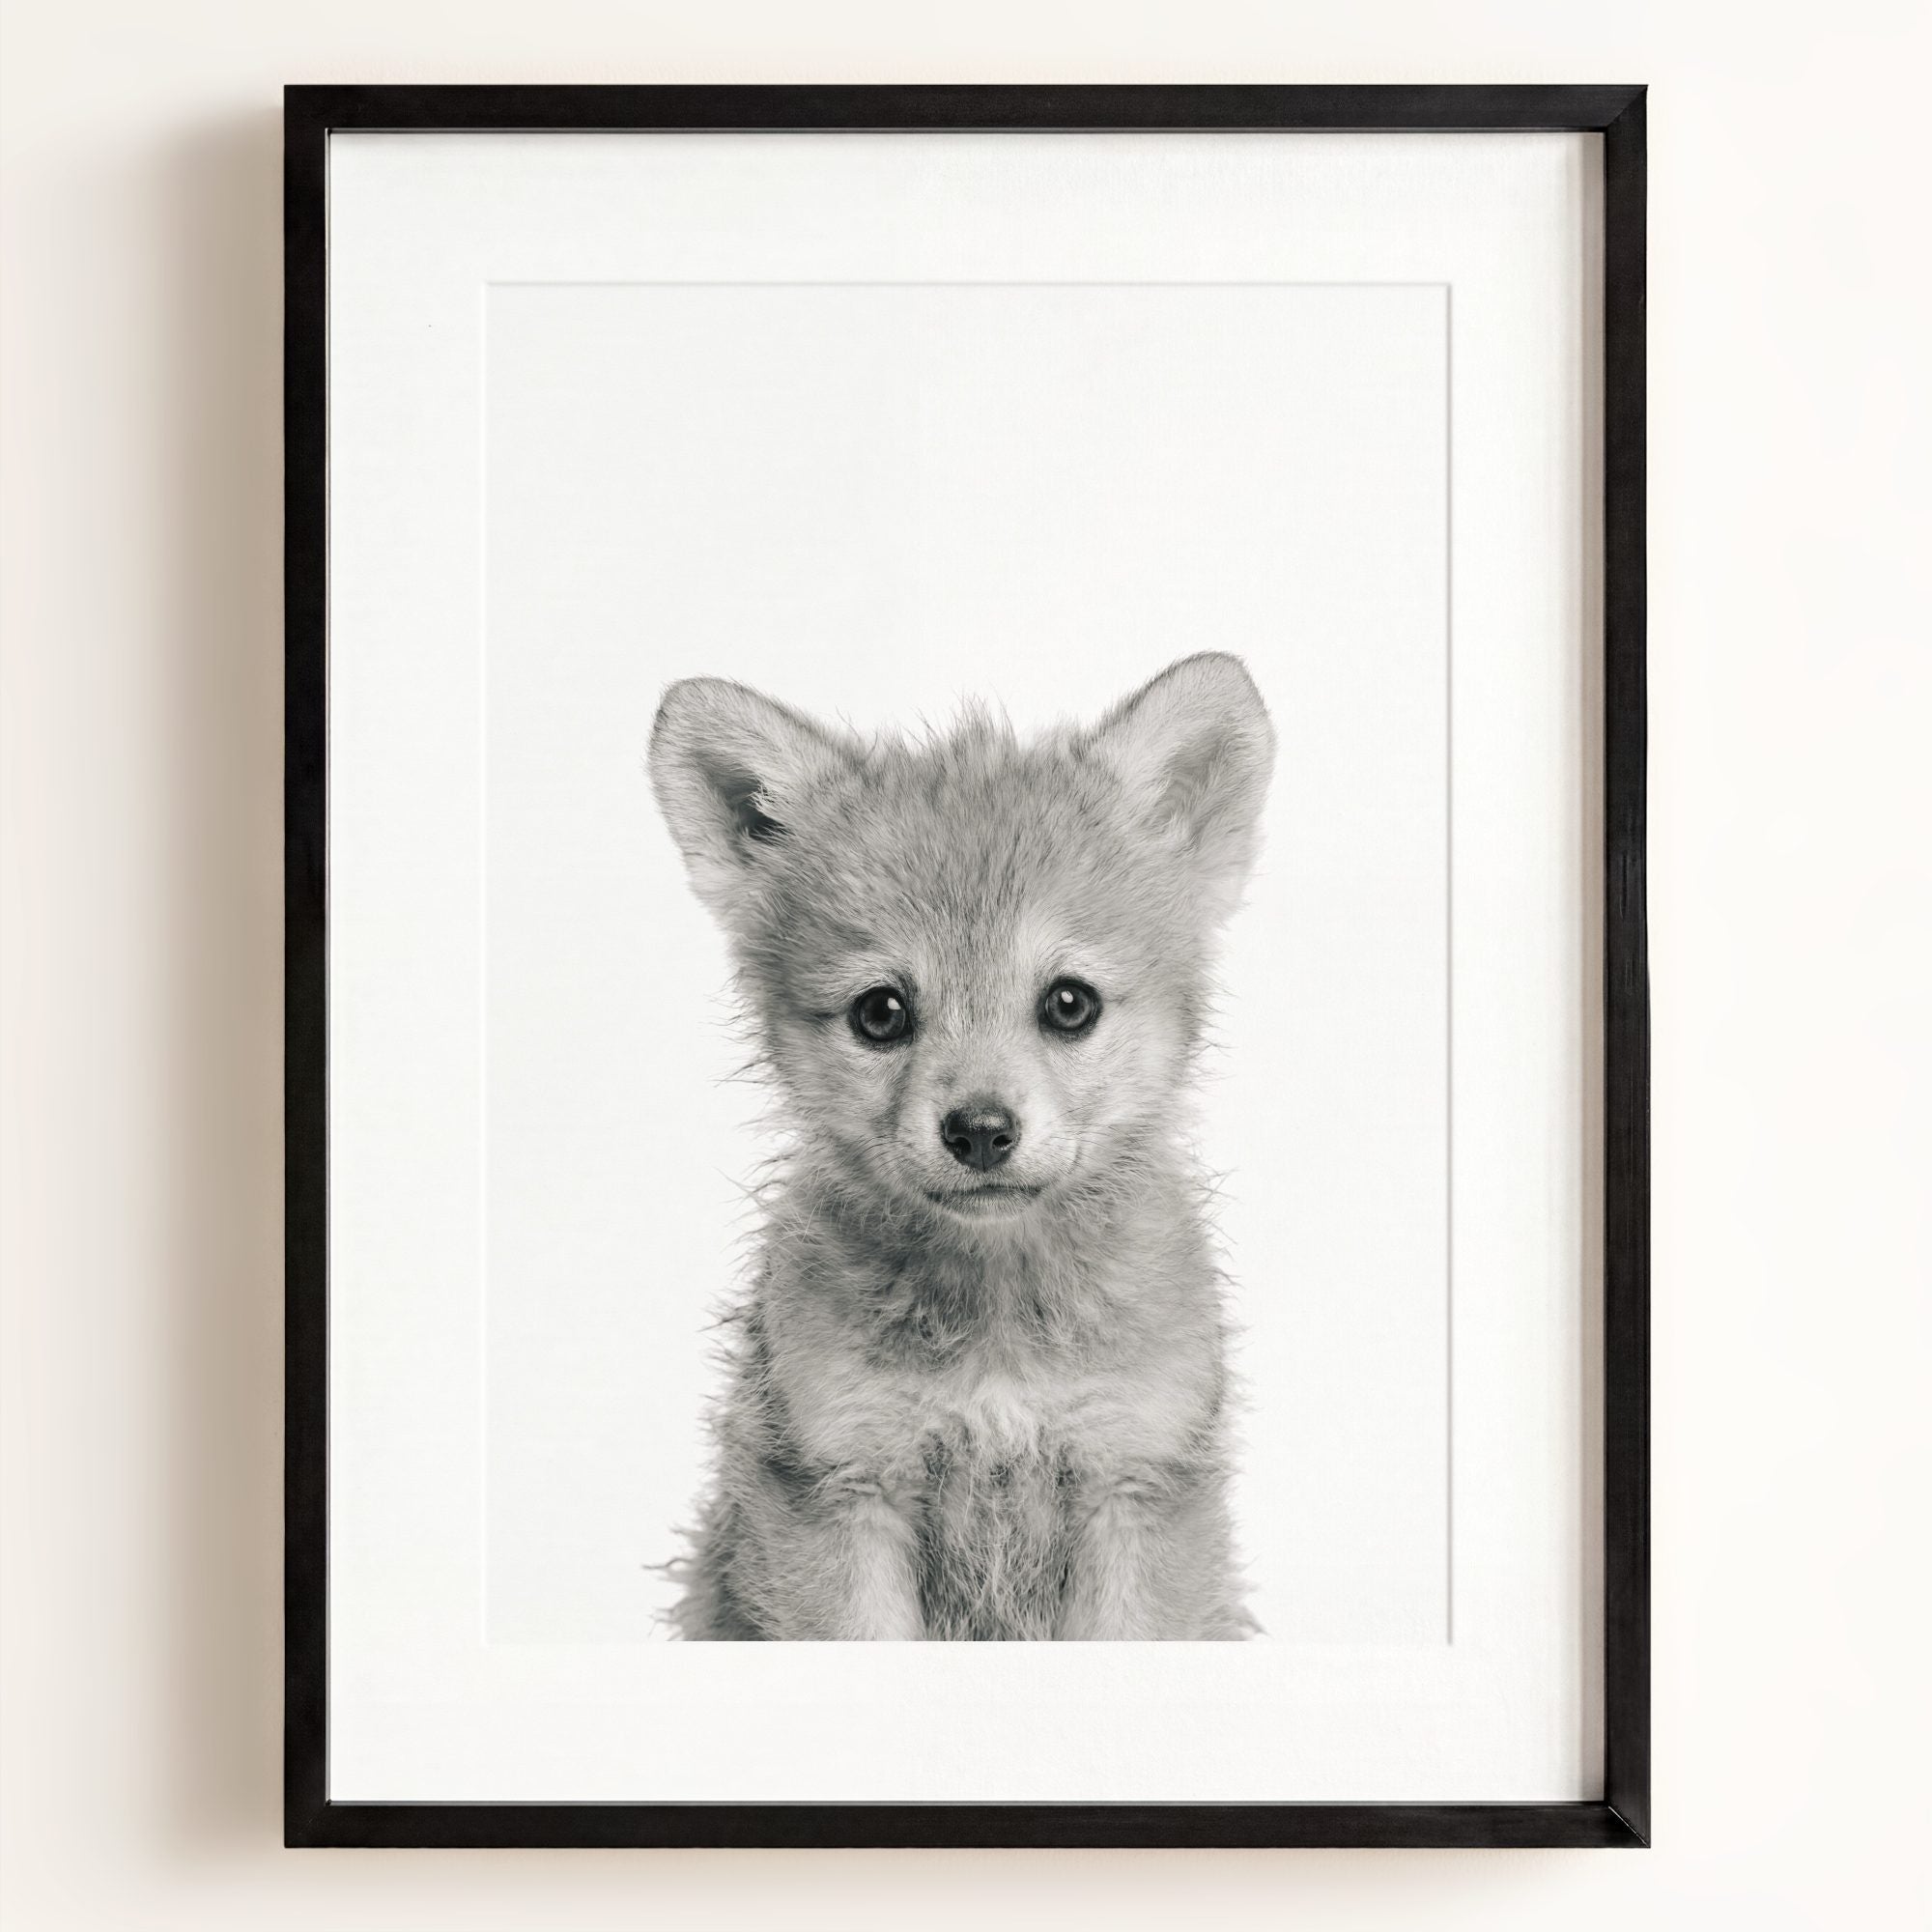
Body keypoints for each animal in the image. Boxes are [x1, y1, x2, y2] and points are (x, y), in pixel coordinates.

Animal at [648, 652, 1274, 1639]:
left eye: (1069, 1003)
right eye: (880, 1012)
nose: (980, 1132)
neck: (999, 1329)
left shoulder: (1134, 1482)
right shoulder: (841, 1486)